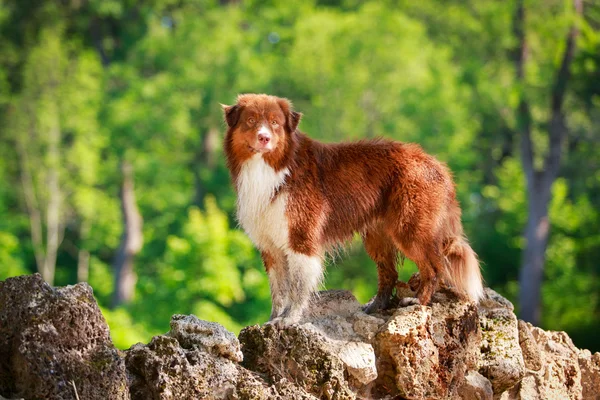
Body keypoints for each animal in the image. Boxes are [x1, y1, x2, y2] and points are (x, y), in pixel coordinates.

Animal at [223, 95, 486, 326]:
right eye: (251, 120)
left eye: (275, 123)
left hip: (410, 229)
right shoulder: (270, 246)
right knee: (389, 274)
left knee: (434, 267)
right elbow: (278, 290)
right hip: (378, 235)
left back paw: (417, 302)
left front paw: (289, 319)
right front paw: (272, 319)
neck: (276, 168)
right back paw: (375, 307)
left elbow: (298, 288)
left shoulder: (301, 238)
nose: (264, 138)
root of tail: (438, 165)